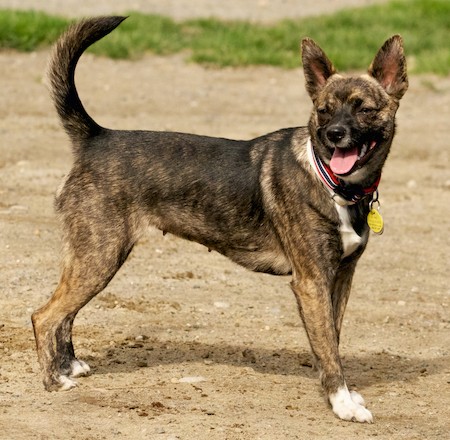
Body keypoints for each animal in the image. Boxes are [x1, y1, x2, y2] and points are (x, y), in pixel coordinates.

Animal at [32, 17, 408, 422]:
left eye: (364, 109)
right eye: (323, 110)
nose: (334, 134)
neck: (334, 184)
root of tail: (96, 138)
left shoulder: (340, 277)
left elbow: (331, 341)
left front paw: (340, 394)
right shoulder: (312, 282)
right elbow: (327, 346)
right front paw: (342, 404)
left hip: (91, 259)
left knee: (64, 314)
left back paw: (69, 366)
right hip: (99, 258)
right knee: (45, 316)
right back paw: (54, 380)